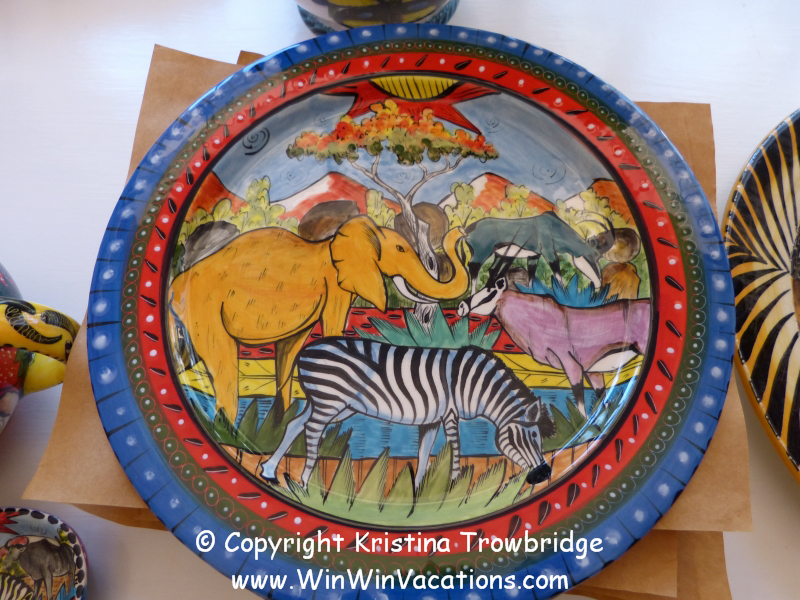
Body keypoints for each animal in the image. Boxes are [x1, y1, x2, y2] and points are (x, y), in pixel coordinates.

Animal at [168, 215, 470, 420]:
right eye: (400, 250)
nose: (461, 233)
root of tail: (176, 287)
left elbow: (289, 351)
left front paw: (280, 423)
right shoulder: (336, 285)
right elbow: (333, 328)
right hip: (204, 308)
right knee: (223, 365)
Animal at [260, 337, 556, 488]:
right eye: (530, 437)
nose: (544, 475)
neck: (474, 384)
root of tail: (306, 348)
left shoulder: (432, 420)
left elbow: (423, 458)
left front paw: (417, 499)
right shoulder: (450, 413)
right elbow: (456, 450)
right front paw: (454, 488)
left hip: (329, 403)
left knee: (294, 425)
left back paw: (270, 471)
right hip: (329, 400)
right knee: (311, 430)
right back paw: (305, 482)